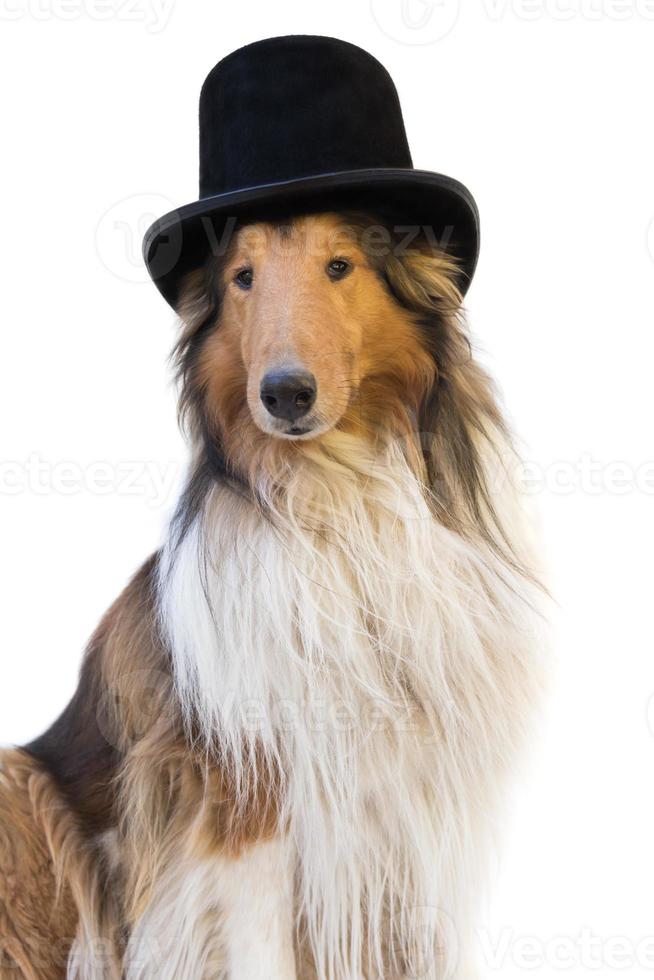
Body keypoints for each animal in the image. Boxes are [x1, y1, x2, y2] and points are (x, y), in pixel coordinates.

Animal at [0, 211, 544, 976]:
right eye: (243, 277)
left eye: (340, 265)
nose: (286, 394)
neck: (339, 506)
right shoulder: (245, 812)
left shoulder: (409, 822)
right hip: (22, 792)